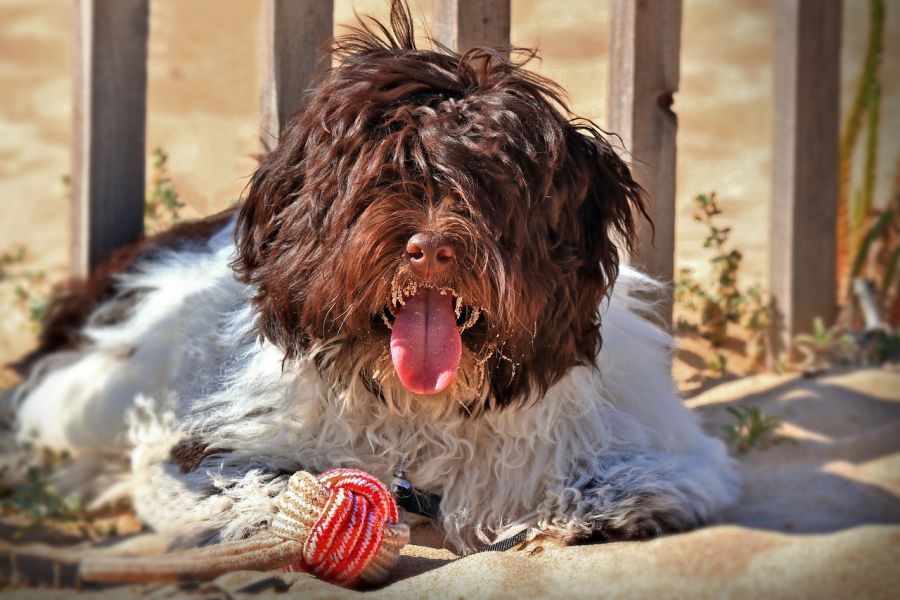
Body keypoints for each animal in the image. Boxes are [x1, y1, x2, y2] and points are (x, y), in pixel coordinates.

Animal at [8, 1, 740, 552]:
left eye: (493, 183)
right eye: (383, 175)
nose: (432, 249)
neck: (424, 411)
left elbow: (650, 472)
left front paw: (601, 504)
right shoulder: (207, 441)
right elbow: (227, 477)